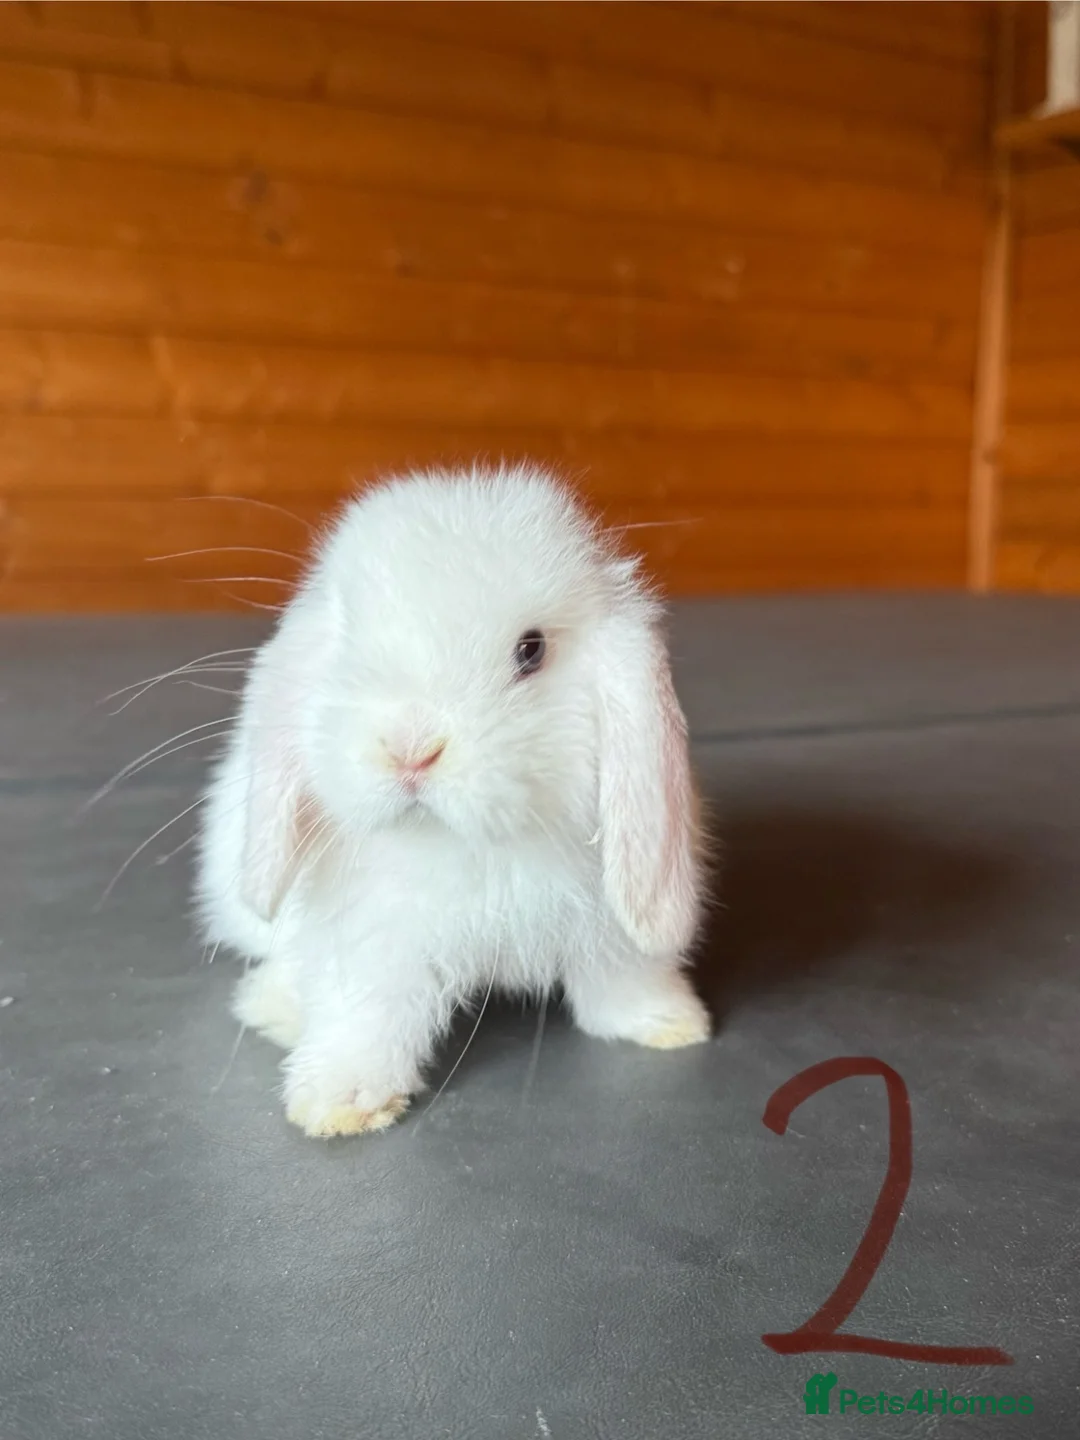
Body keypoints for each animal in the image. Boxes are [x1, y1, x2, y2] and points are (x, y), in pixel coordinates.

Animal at [195, 463, 712, 1138]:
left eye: (531, 649)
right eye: (349, 639)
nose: (409, 749)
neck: (475, 845)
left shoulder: (610, 928)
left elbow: (620, 983)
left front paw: (670, 1022)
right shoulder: (373, 940)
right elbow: (367, 1013)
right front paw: (342, 1101)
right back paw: (276, 1008)